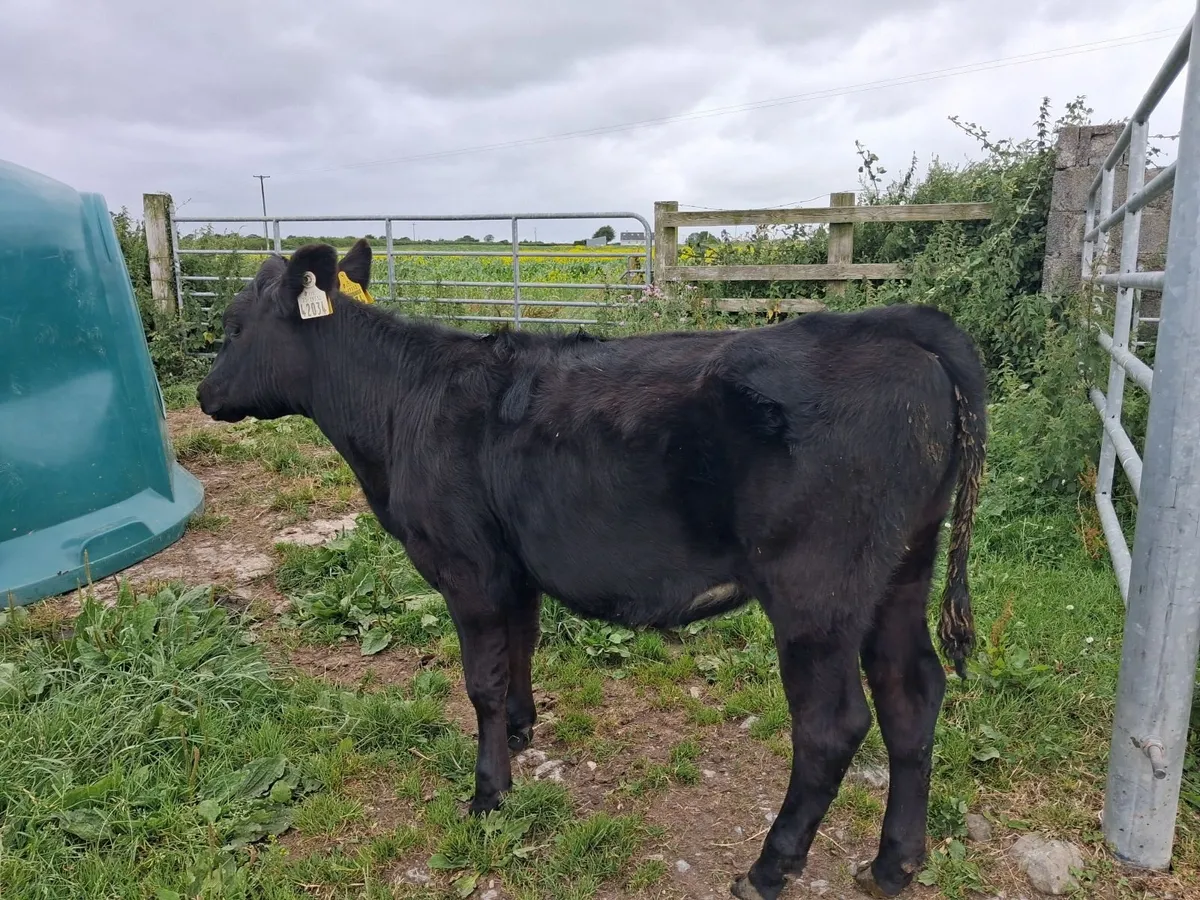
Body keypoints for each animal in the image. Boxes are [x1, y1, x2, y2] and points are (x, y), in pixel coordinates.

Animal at [196, 239, 986, 900]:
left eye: (234, 326)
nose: (204, 395)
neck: (402, 406)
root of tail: (892, 326)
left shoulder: (468, 567)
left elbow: (480, 682)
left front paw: (488, 793)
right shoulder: (513, 566)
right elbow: (521, 647)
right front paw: (521, 731)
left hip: (815, 592)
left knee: (831, 726)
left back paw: (769, 868)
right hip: (901, 568)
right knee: (912, 694)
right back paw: (893, 864)